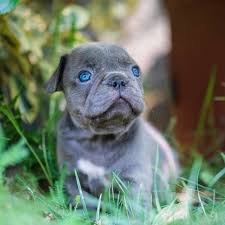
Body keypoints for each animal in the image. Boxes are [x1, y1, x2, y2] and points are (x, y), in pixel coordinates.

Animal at [45, 42, 178, 206]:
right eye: (84, 76)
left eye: (135, 71)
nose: (119, 80)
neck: (100, 139)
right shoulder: (71, 179)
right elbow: (83, 201)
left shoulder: (134, 178)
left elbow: (135, 205)